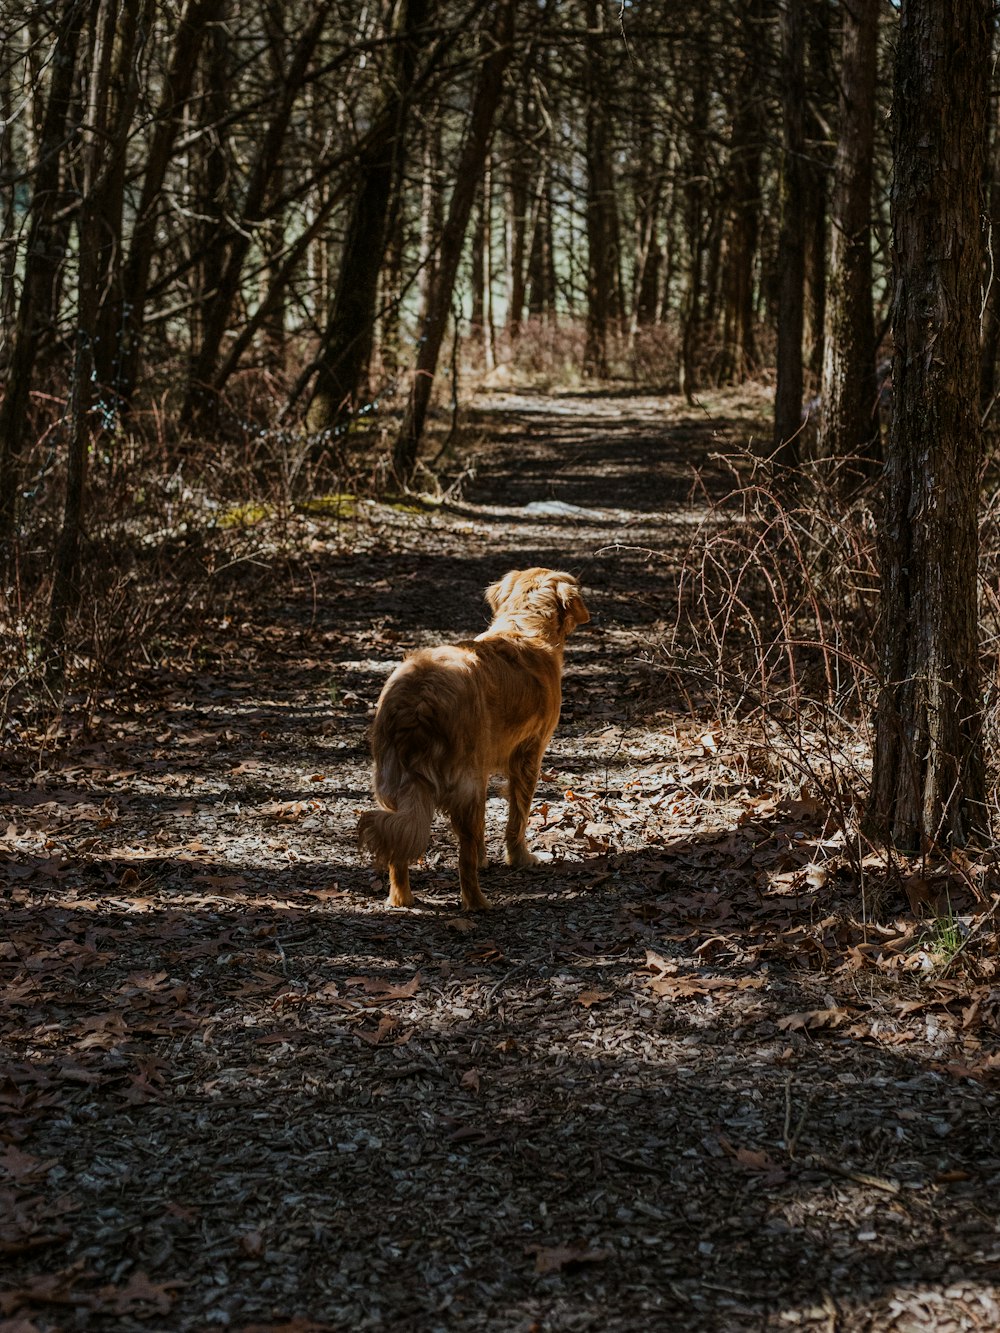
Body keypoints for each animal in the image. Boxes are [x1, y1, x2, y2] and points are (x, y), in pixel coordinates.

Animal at [360, 567, 592, 911]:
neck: (524, 627)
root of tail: (419, 697)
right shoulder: (528, 755)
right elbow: (518, 817)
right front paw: (520, 857)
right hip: (464, 786)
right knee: (463, 859)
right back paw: (478, 903)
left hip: (393, 784)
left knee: (397, 844)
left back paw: (401, 898)